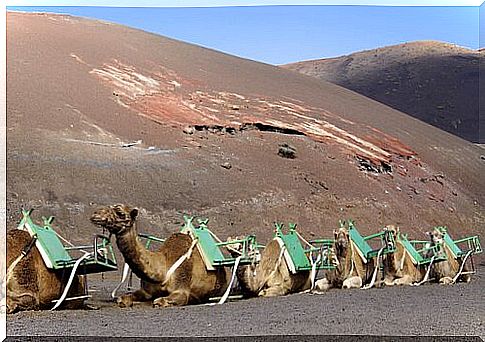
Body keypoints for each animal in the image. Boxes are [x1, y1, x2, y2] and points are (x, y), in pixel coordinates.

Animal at [90, 204, 231, 308]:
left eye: (120, 212)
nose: (95, 214)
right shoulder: (146, 291)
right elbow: (123, 298)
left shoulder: (181, 289)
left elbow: (160, 301)